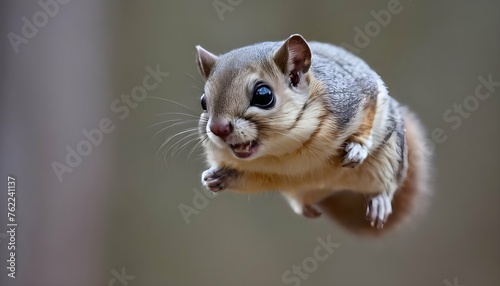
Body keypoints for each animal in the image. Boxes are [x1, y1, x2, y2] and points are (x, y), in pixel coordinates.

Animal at [194, 34, 430, 236]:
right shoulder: (265, 173)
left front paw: (357, 148)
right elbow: (253, 179)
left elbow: (367, 116)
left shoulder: (354, 97)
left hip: (390, 156)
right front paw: (215, 177)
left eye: (263, 95)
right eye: (203, 102)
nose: (218, 129)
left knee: (387, 185)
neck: (283, 149)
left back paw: (380, 200)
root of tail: (334, 189)